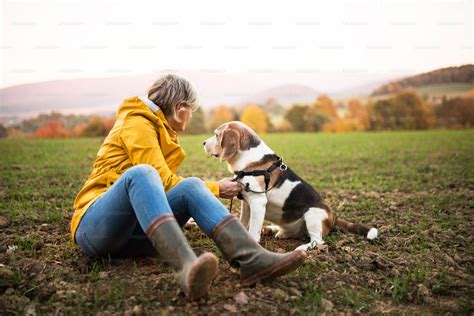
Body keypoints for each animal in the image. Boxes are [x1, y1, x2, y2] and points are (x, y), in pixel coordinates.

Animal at [204, 120, 378, 249]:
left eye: (216, 135)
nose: (203, 142)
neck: (249, 159)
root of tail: (333, 216)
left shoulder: (258, 202)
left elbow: (253, 228)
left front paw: (252, 242)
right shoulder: (246, 201)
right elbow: (243, 221)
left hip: (312, 214)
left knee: (318, 240)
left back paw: (303, 248)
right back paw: (273, 230)